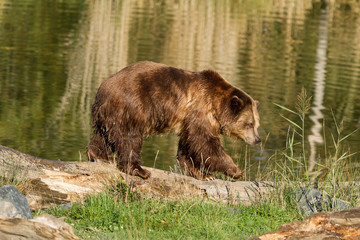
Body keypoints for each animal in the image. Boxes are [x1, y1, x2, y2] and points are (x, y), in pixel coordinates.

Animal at [87, 61, 262, 180]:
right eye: (250, 124)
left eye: (257, 124)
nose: (257, 139)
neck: (216, 105)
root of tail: (103, 89)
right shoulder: (200, 110)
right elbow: (205, 142)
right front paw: (236, 170)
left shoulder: (188, 121)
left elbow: (189, 145)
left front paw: (202, 174)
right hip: (132, 106)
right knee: (130, 138)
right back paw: (140, 170)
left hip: (109, 114)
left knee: (103, 135)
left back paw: (100, 156)